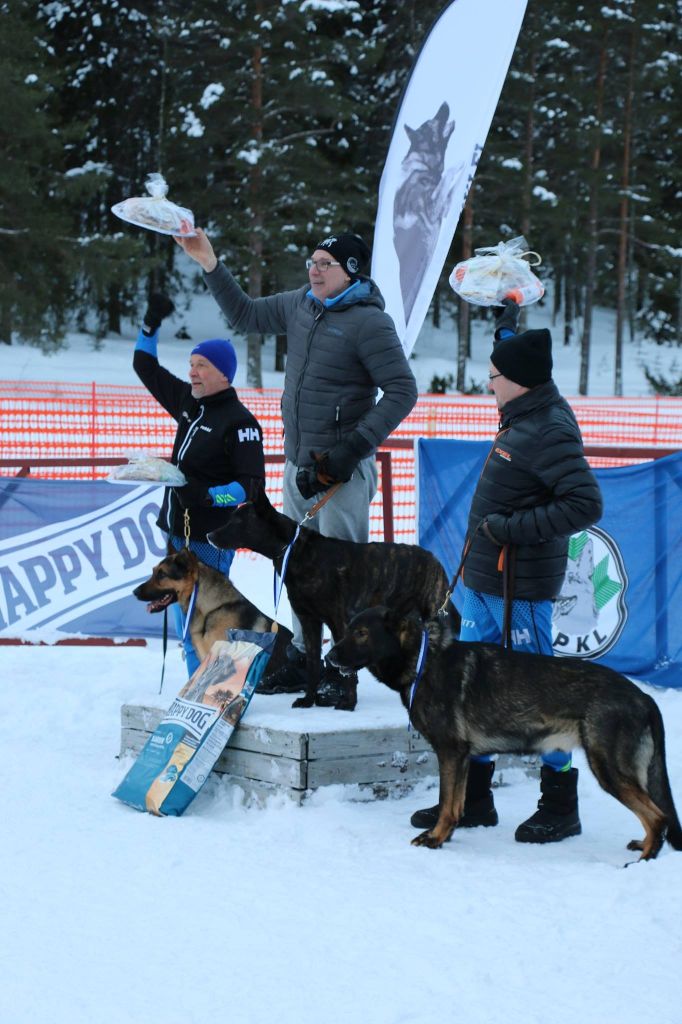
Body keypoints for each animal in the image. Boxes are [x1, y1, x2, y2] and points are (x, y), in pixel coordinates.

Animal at [204, 487, 454, 712]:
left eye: (238, 521)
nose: (208, 535)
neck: (297, 552)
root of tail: (435, 560)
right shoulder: (309, 622)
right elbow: (314, 665)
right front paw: (309, 700)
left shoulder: (340, 622)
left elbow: (348, 671)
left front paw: (348, 703)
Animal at [325, 602, 679, 860]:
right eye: (348, 630)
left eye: (361, 633)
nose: (328, 657)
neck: (423, 660)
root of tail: (643, 696)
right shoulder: (462, 757)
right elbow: (455, 805)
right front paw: (446, 836)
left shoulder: (450, 752)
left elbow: (446, 802)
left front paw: (435, 839)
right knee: (656, 815)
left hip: (608, 770)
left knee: (657, 816)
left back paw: (645, 860)